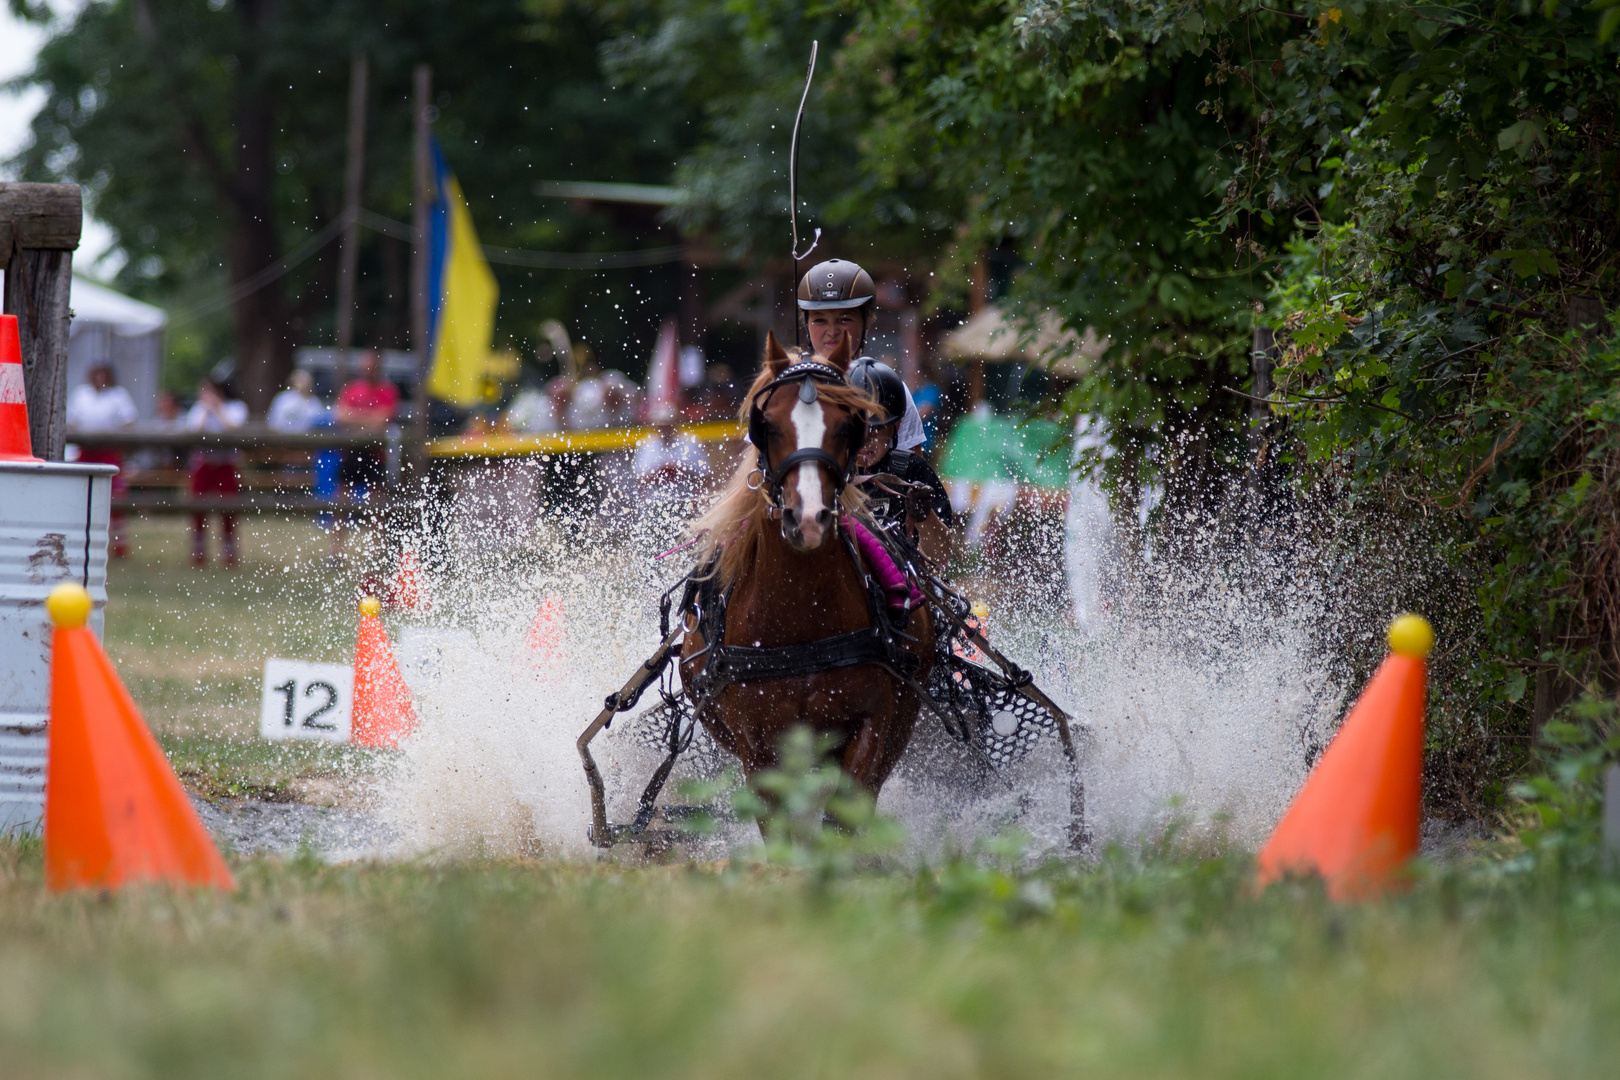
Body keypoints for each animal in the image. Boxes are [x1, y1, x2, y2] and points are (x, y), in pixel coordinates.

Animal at [677, 333, 939, 799]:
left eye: (847, 425)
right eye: (768, 425)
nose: (809, 519)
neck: (800, 614)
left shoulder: (869, 727)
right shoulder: (758, 748)